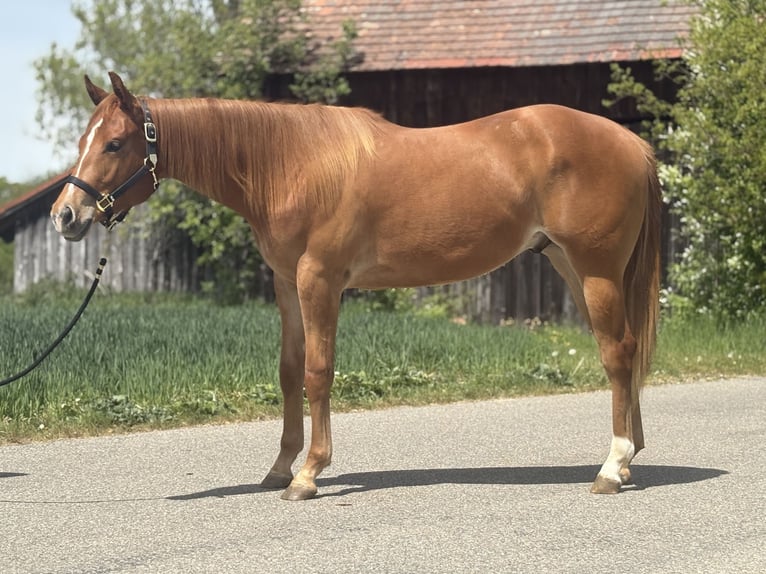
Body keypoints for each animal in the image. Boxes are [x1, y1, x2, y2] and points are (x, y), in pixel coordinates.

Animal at [51, 72, 660, 501]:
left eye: (115, 144)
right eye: (85, 139)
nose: (65, 216)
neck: (291, 165)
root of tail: (631, 142)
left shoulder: (319, 280)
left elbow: (319, 373)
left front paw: (309, 474)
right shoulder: (286, 285)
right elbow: (289, 372)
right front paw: (280, 467)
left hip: (596, 270)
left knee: (617, 353)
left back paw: (612, 467)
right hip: (570, 266)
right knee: (624, 352)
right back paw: (630, 460)